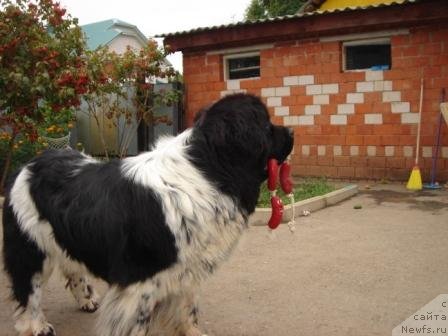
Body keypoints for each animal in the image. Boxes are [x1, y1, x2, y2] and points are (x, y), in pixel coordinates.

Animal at [2, 94, 294, 336]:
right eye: (266, 126)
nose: (291, 131)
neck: (207, 170)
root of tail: (28, 165)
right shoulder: (139, 283)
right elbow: (138, 324)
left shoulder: (188, 269)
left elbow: (188, 309)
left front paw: (192, 332)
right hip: (30, 245)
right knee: (29, 287)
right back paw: (36, 325)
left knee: (72, 268)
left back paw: (86, 299)